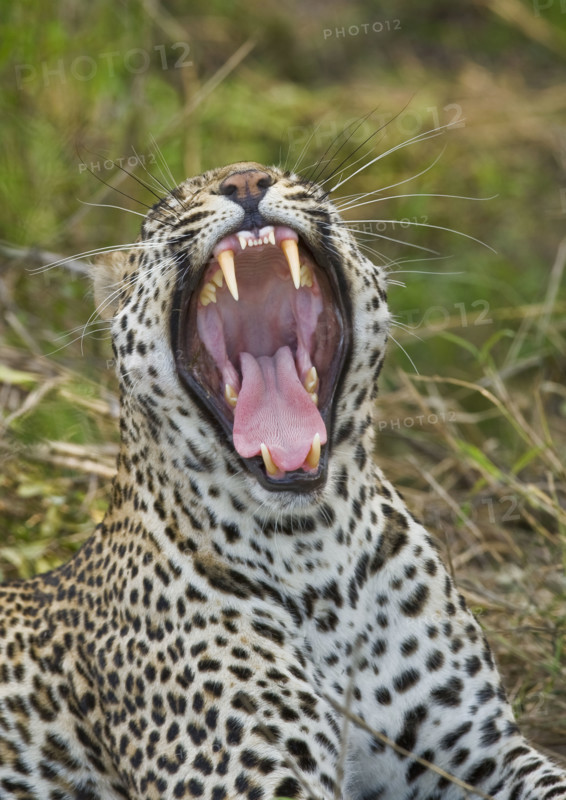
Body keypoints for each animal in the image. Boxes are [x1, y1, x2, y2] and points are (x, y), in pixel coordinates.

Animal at [1, 160, 565, 800]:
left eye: (295, 180)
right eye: (163, 211)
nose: (245, 179)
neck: (318, 557)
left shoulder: (482, 751)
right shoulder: (251, 780)